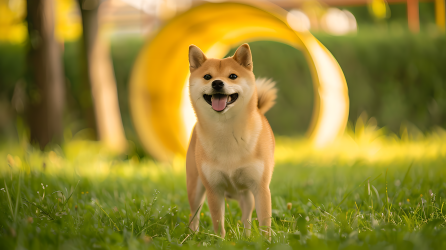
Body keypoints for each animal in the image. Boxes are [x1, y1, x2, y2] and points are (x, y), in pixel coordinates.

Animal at [185, 43, 276, 238]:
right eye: (207, 76)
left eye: (233, 76)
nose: (217, 83)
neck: (227, 132)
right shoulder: (214, 190)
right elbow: (218, 222)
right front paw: (221, 241)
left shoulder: (260, 188)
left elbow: (265, 223)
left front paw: (266, 241)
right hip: (195, 188)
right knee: (193, 214)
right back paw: (191, 236)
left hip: (247, 196)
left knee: (246, 218)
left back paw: (246, 237)